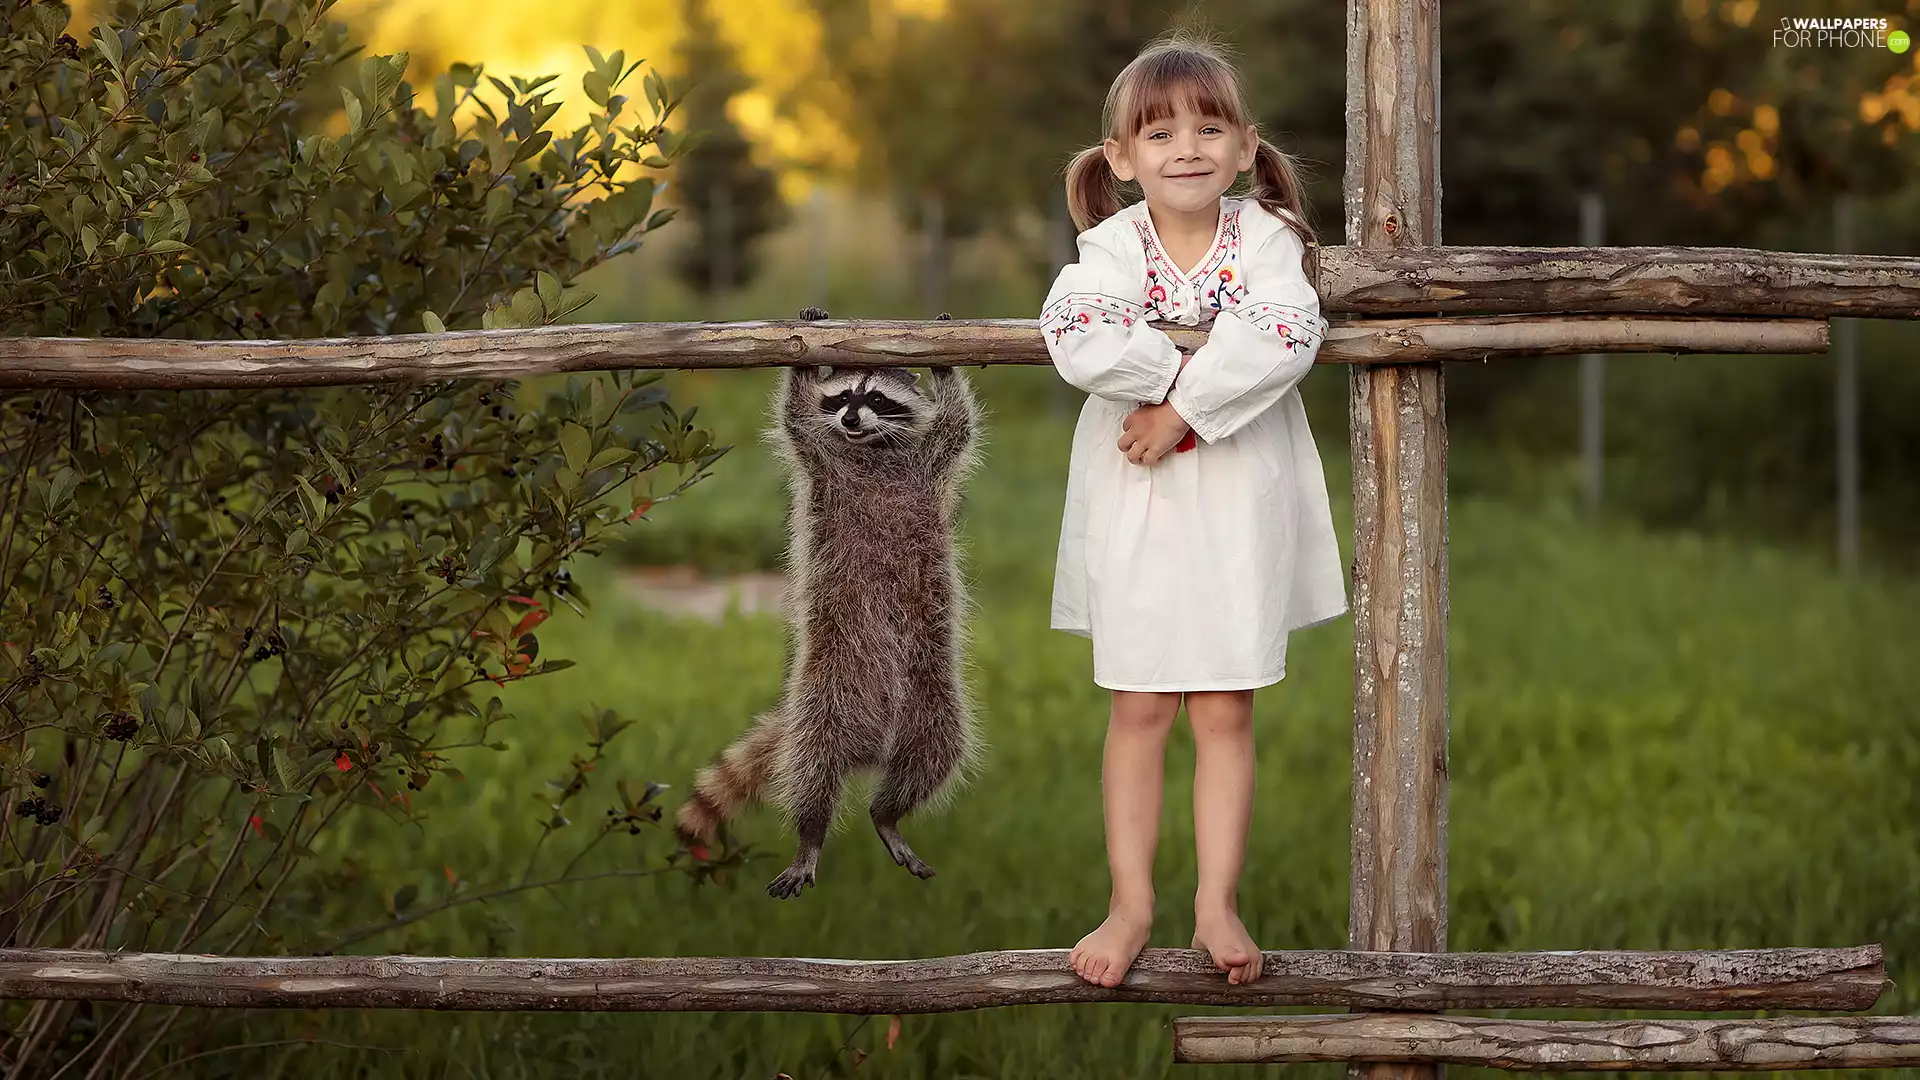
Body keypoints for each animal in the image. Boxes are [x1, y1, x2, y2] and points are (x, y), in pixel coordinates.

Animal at [675, 310, 985, 899]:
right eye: (842, 394)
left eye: (876, 397)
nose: (851, 417)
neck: (870, 450)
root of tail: (872, 748)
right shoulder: (822, 458)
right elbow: (796, 416)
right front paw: (802, 360)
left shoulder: (929, 463)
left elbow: (957, 424)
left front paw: (943, 365)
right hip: (827, 695)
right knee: (811, 768)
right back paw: (811, 832)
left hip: (930, 698)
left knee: (936, 754)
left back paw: (888, 813)